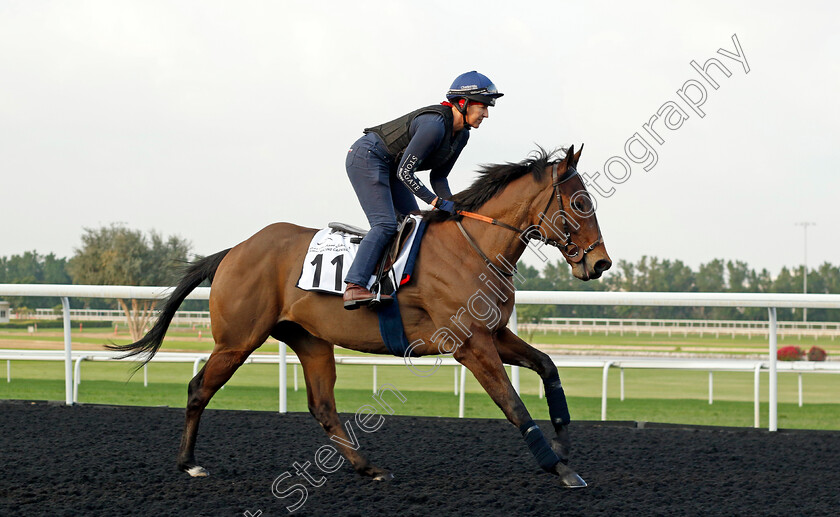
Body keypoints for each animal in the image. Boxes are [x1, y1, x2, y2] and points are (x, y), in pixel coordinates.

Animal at [111, 145, 612, 488]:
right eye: (579, 203)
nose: (600, 263)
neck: (474, 247)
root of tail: (235, 249)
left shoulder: (495, 334)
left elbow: (548, 367)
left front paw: (564, 443)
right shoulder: (470, 345)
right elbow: (513, 404)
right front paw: (558, 466)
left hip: (310, 340)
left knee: (323, 406)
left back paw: (368, 467)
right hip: (237, 340)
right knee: (199, 388)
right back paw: (189, 463)